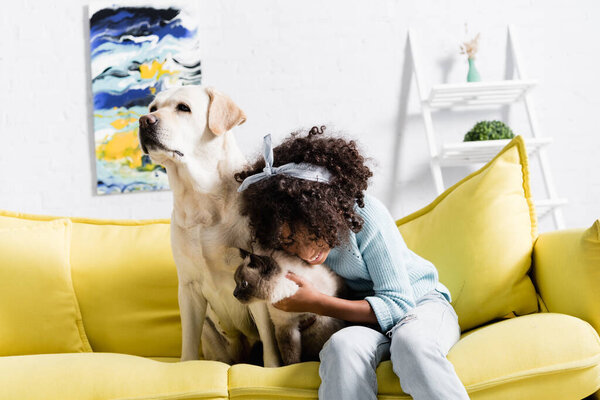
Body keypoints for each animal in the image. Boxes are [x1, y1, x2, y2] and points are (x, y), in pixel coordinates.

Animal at [139, 86, 282, 368]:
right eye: (153, 108)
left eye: (183, 108)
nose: (143, 120)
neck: (200, 199)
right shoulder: (189, 288)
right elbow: (188, 342)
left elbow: (269, 341)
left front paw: (271, 368)